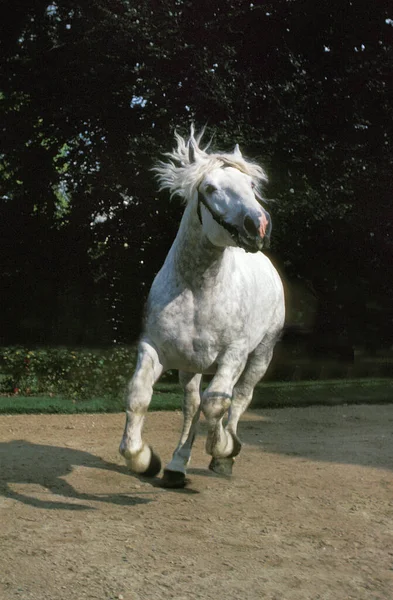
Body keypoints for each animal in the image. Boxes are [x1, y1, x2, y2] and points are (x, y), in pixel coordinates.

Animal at [118, 126, 284, 488]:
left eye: (251, 186)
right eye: (210, 188)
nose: (259, 226)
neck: (198, 291)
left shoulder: (234, 353)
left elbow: (217, 403)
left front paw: (224, 448)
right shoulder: (155, 349)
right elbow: (138, 396)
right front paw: (144, 460)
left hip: (262, 354)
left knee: (240, 397)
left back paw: (223, 457)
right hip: (190, 365)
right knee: (191, 403)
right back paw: (177, 467)